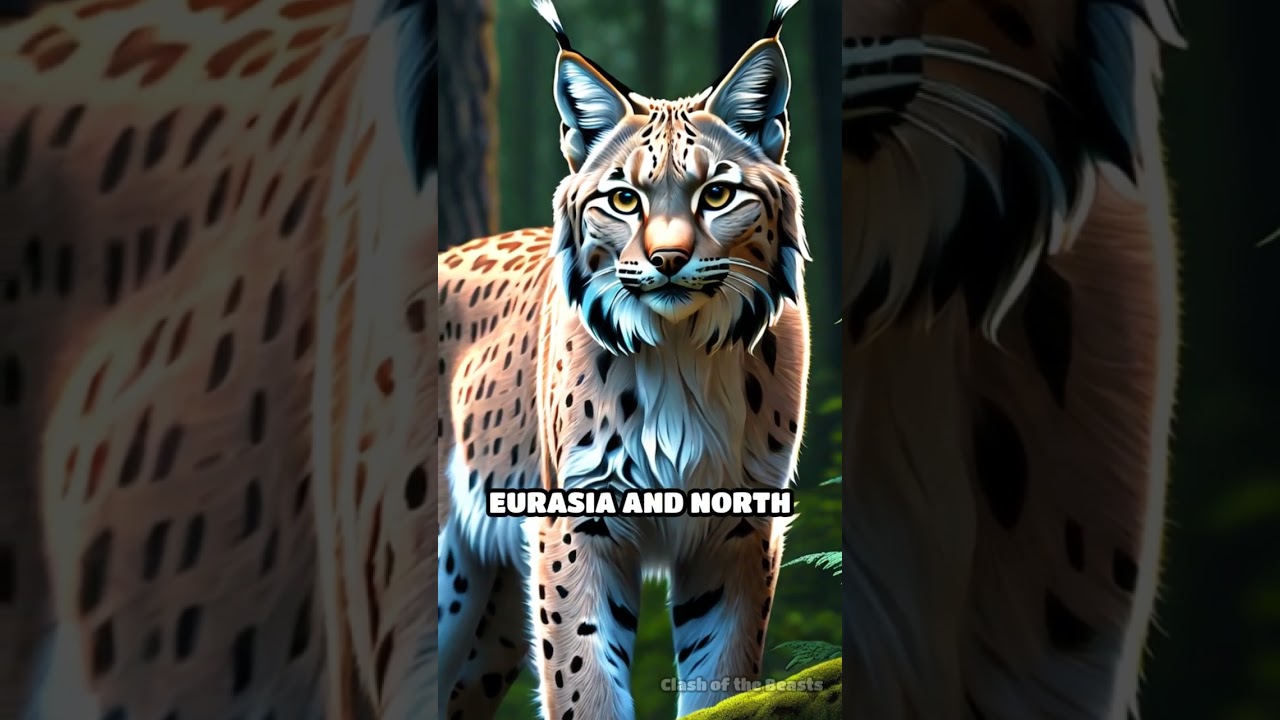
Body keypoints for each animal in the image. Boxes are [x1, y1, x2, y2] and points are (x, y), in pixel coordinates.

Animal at [436, 1, 810, 719]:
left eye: (716, 195)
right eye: (624, 200)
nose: (667, 260)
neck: (681, 349)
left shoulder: (740, 521)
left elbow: (723, 668)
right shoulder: (576, 517)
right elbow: (583, 675)